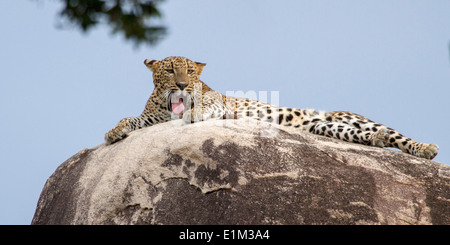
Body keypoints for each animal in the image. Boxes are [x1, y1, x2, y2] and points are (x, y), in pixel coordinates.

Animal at [103, 56, 438, 160]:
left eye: (190, 73)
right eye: (171, 71)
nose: (183, 86)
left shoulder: (218, 101)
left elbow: (206, 104)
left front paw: (194, 111)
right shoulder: (152, 118)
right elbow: (130, 119)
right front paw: (114, 131)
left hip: (349, 117)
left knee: (395, 135)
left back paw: (425, 148)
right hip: (326, 127)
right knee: (366, 135)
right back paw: (376, 140)